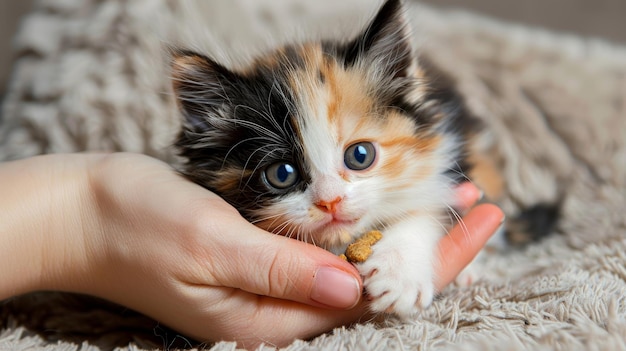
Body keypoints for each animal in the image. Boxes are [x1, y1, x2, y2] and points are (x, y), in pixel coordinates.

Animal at [171, 0, 556, 320]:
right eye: (281, 173)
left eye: (360, 155)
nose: (330, 202)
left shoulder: (447, 152)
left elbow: (430, 205)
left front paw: (398, 274)